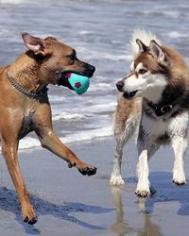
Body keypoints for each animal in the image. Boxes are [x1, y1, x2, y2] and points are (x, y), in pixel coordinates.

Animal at [0, 32, 96, 224]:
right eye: (71, 56)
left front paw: (83, 165)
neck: (30, 90)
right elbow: (20, 182)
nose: (93, 68)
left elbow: (68, 151)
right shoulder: (9, 145)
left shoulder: (46, 134)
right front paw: (28, 210)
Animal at [110, 30, 189, 196]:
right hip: (126, 126)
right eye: (133, 70)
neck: (162, 105)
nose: (118, 84)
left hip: (156, 141)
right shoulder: (144, 137)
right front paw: (142, 186)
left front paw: (179, 174)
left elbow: (178, 156)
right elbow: (143, 163)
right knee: (118, 152)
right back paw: (116, 177)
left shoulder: (180, 132)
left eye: (142, 71)